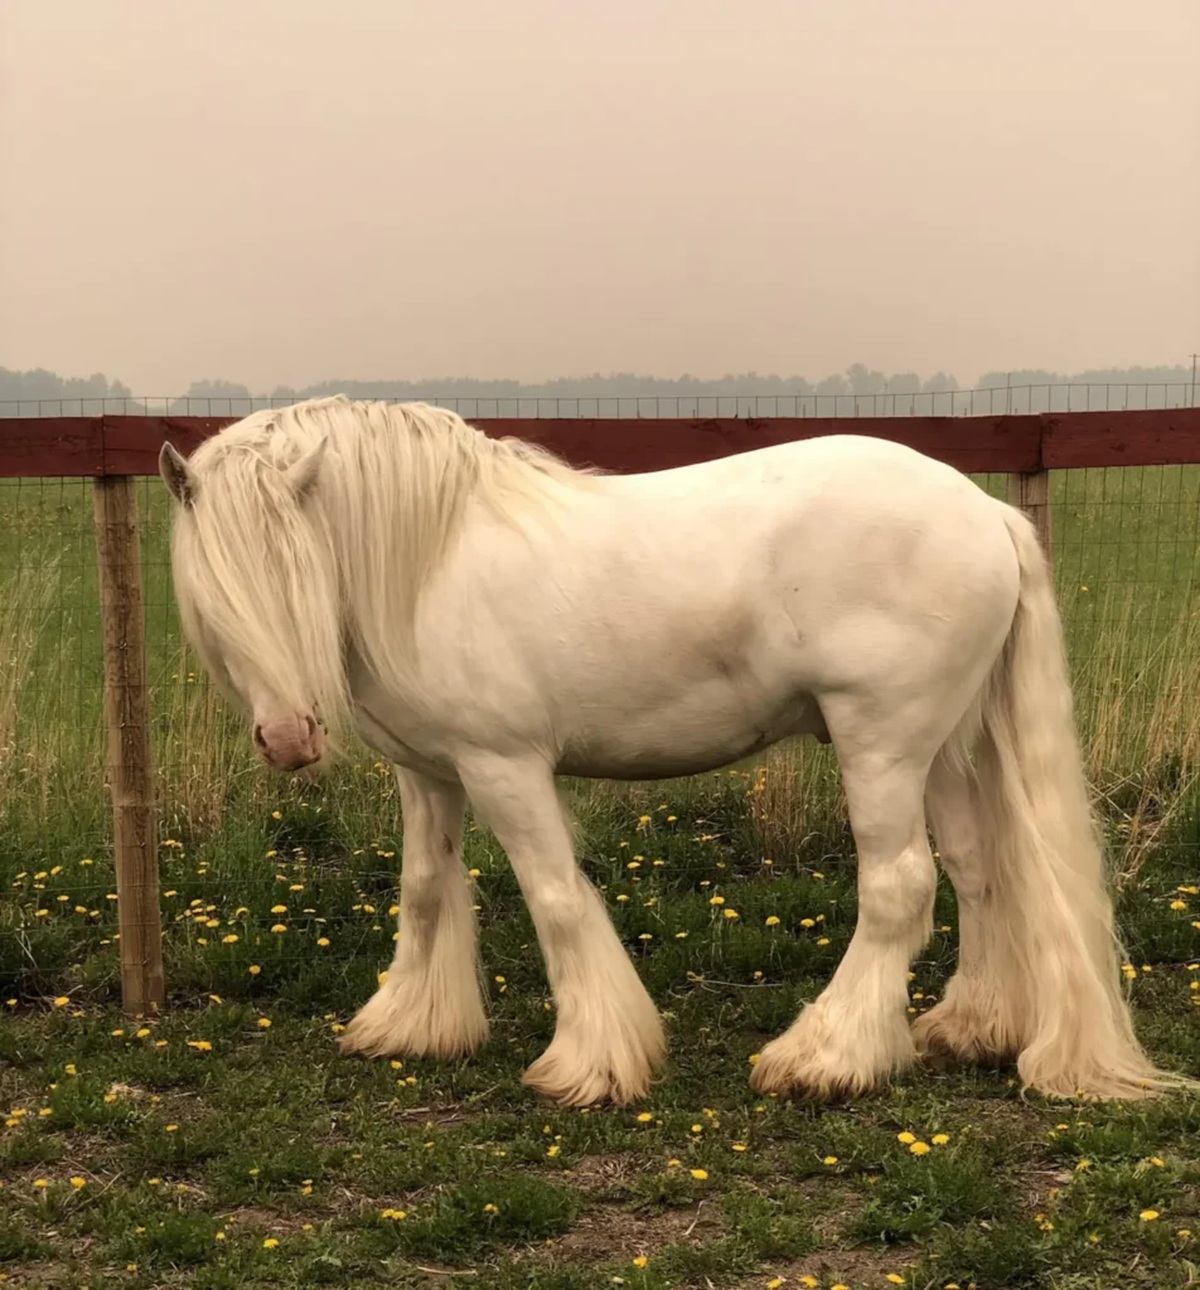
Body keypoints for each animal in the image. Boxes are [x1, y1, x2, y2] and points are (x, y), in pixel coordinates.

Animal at [159, 394, 1189, 1107]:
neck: (430, 561)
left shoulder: (505, 767)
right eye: (214, 587)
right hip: (941, 747)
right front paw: (411, 1026)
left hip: (882, 743)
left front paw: (591, 1064)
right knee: (977, 871)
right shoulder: (430, 773)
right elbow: (423, 891)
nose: (288, 739)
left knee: (899, 887)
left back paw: (823, 1057)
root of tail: (985, 515)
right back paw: (968, 1028)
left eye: (293, 566)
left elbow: (556, 900)